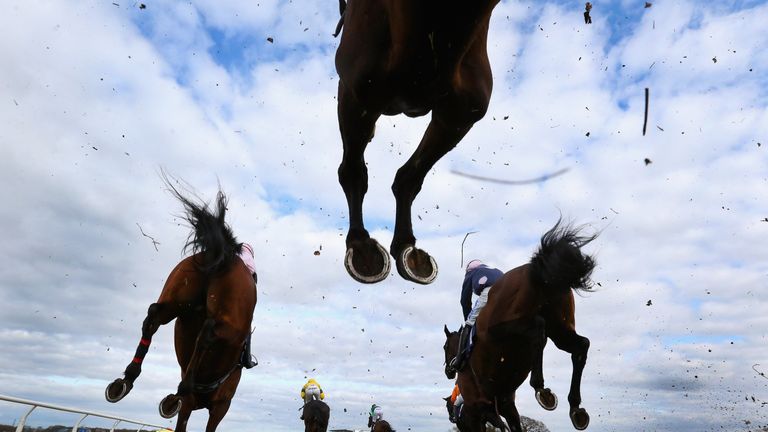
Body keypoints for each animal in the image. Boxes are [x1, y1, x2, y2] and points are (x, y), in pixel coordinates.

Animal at [105, 183, 257, 432]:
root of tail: (224, 255)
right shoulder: (220, 406)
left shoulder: (199, 407)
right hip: (231, 326)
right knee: (207, 331)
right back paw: (178, 390)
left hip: (178, 297)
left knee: (153, 316)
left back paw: (126, 380)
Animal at [333, 0, 501, 284]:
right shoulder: (358, 90)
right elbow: (353, 170)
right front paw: (360, 245)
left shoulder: (458, 116)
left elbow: (410, 176)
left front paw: (405, 245)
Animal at [443, 220, 596, 432]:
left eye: (445, 347)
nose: (449, 371)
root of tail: (536, 269)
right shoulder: (504, 403)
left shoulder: (483, 407)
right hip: (560, 327)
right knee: (579, 345)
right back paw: (575, 408)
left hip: (500, 330)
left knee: (539, 330)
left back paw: (541, 388)